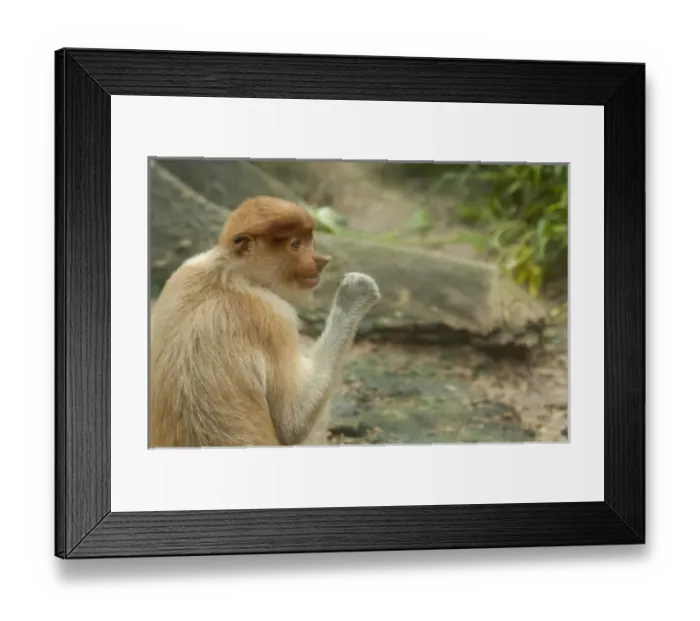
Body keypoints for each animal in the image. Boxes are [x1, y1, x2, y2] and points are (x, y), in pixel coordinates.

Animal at [149, 195, 381, 448]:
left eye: (309, 240)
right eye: (295, 244)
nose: (321, 261)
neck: (227, 274)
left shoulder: (184, 270)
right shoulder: (276, 318)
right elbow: (292, 423)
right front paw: (357, 291)